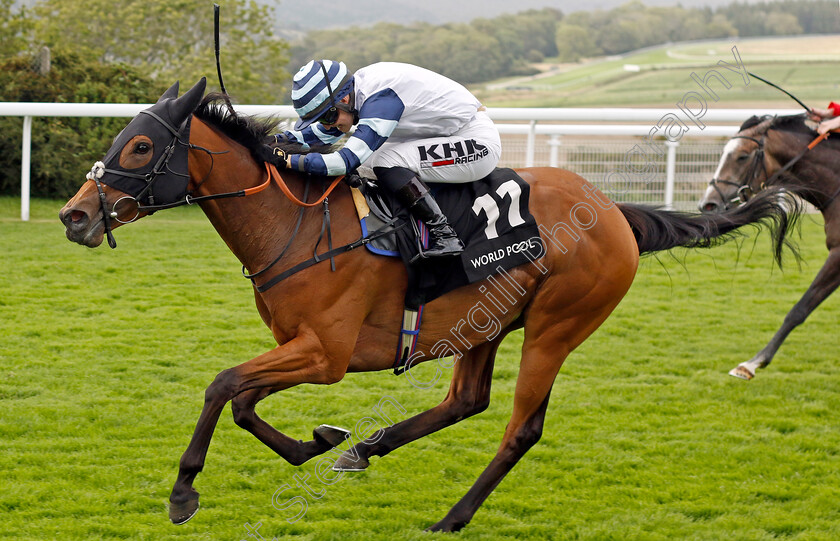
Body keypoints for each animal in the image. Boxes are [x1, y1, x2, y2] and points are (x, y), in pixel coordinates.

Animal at [60, 80, 800, 532]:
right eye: (121, 137)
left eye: (140, 145)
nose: (74, 216)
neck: (295, 225)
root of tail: (616, 211)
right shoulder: (301, 348)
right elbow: (243, 402)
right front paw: (319, 442)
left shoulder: (326, 354)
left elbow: (222, 386)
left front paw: (183, 492)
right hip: (488, 321)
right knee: (466, 399)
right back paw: (367, 449)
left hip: (556, 327)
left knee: (520, 427)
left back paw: (453, 514)